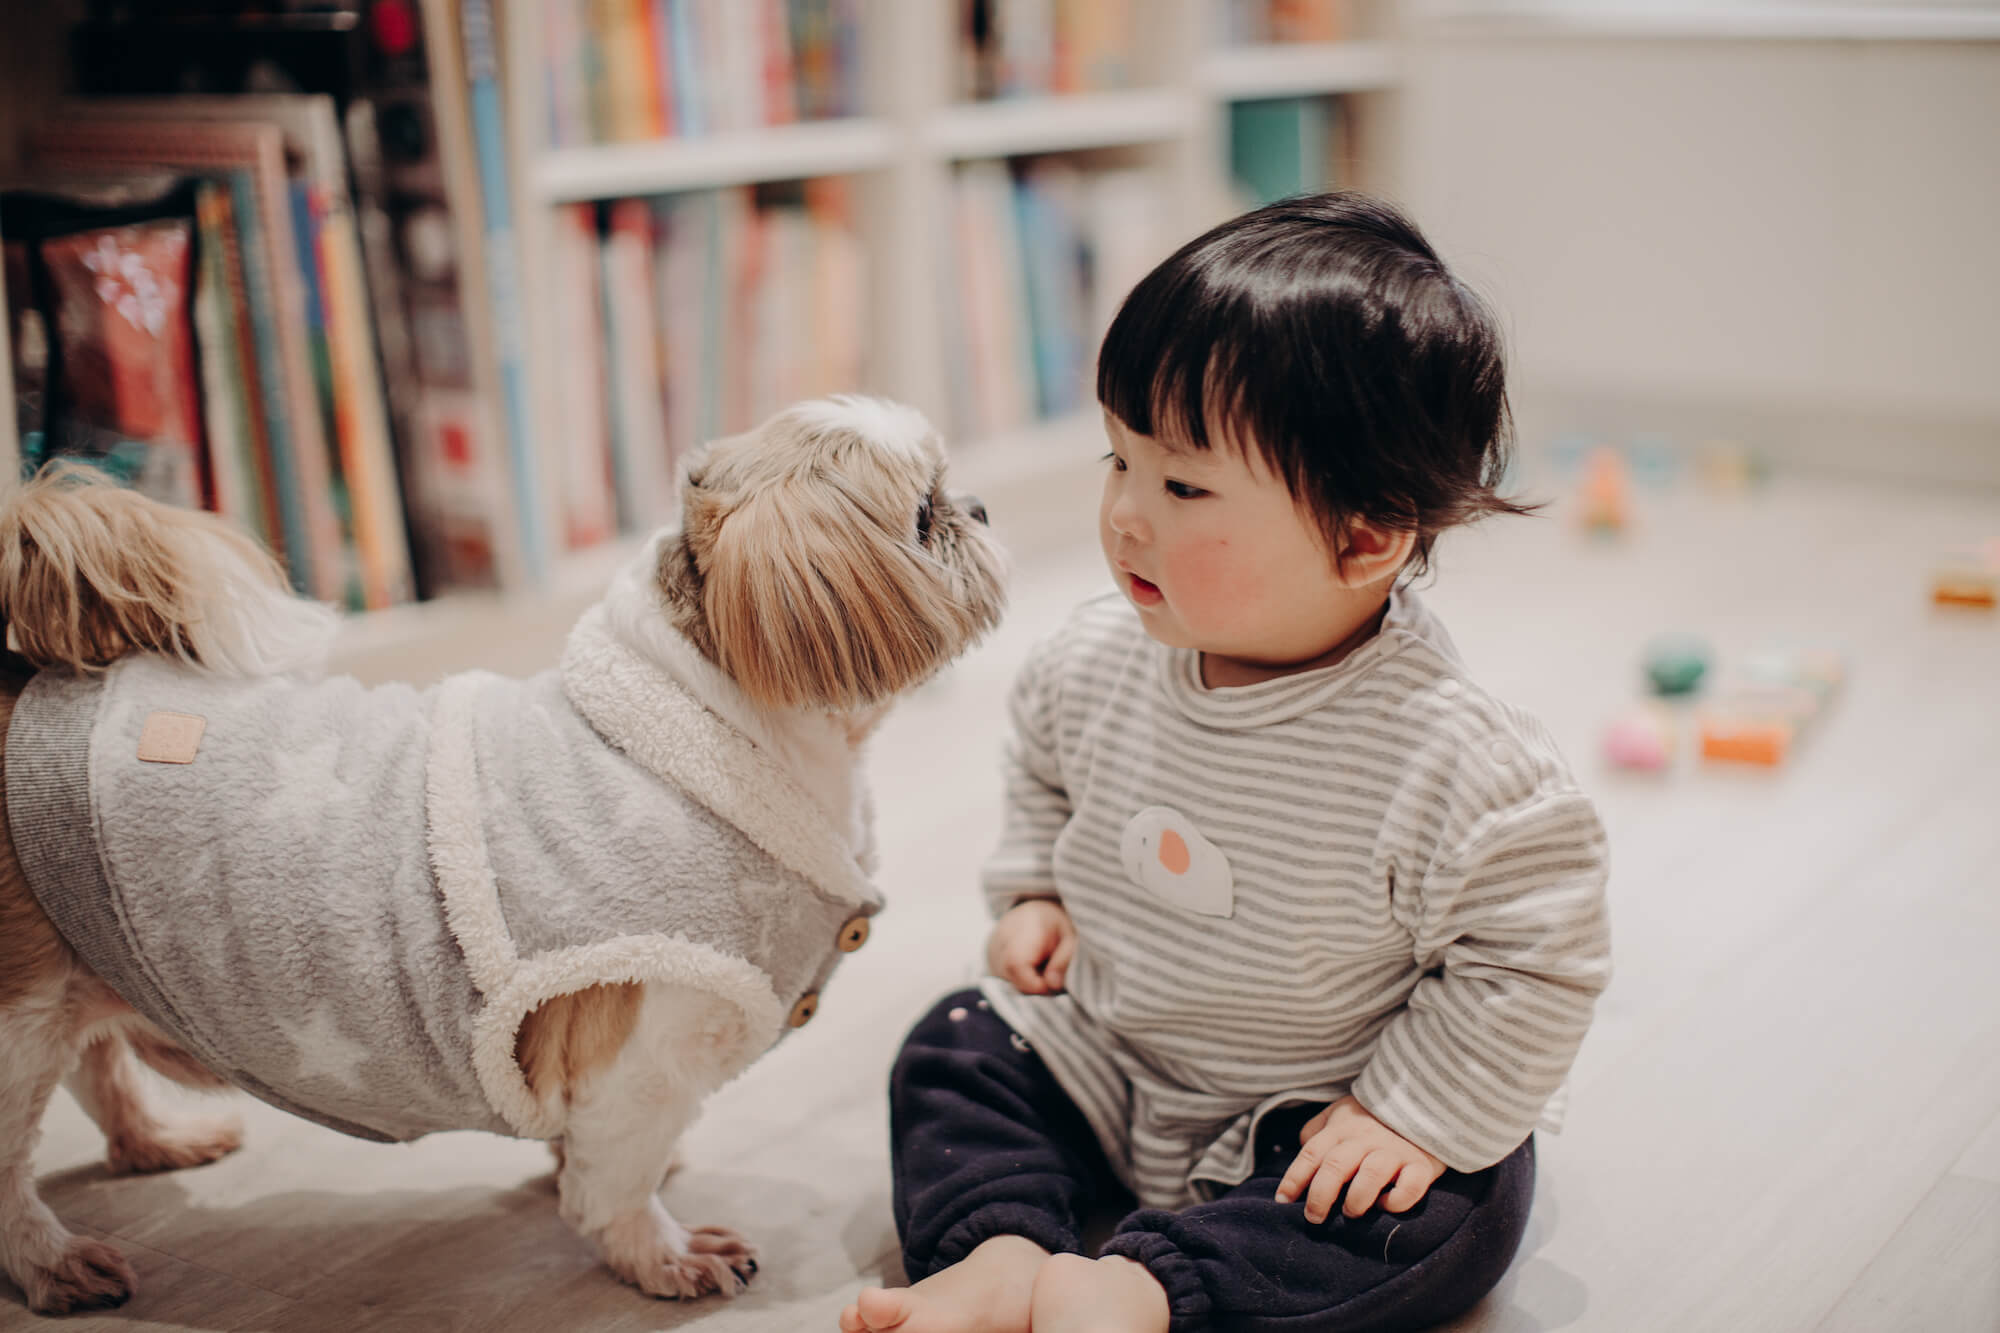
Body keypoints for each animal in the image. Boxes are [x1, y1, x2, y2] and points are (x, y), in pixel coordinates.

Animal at [0, 395, 1007, 1315]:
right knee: (14, 1165)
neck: (711, 727)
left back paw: (156, 1142)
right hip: (19, 1022)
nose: (983, 507)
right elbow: (617, 1183)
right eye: (924, 514)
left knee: (97, 1065)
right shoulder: (641, 1051)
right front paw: (662, 1252)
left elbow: (583, 1148)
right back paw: (55, 1262)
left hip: (87, 969)